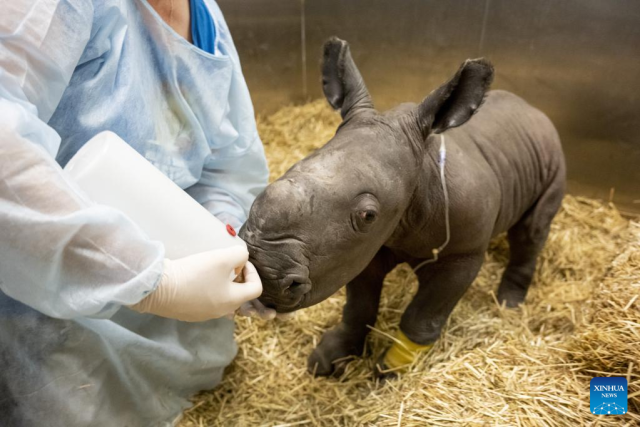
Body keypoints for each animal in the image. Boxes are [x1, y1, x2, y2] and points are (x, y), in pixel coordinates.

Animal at [240, 37, 564, 378]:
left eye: (368, 215)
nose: (265, 270)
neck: (422, 176)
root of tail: (533, 109)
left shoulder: (463, 253)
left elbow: (422, 317)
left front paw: (390, 371)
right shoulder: (362, 250)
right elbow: (359, 306)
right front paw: (330, 358)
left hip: (553, 160)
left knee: (532, 230)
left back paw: (508, 304)